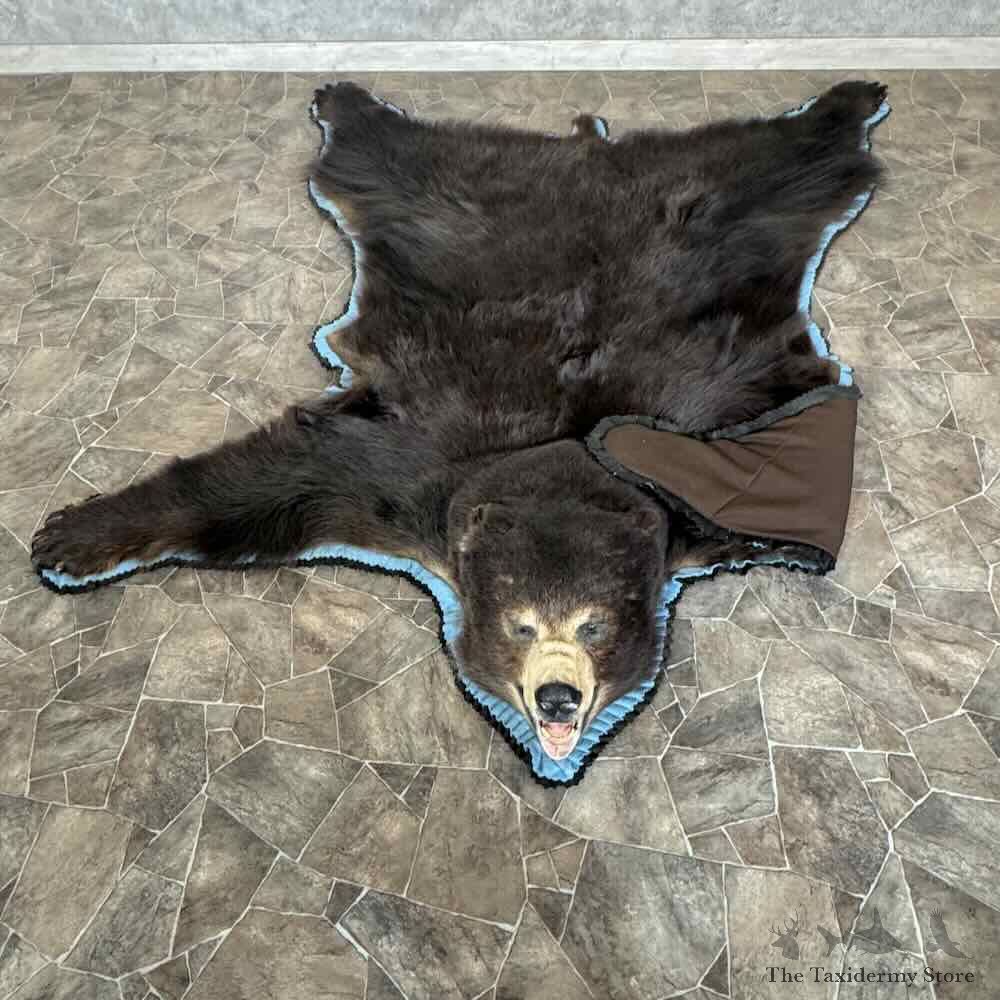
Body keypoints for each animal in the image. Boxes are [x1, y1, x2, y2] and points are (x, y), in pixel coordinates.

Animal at [31, 79, 886, 765]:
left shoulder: (714, 436)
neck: (561, 458)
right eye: (519, 625)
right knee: (382, 159)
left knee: (784, 165)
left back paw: (849, 98)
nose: (557, 698)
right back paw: (346, 100)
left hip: (721, 214)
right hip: (445, 199)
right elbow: (268, 485)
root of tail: (587, 151)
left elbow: (788, 480)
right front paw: (71, 537)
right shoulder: (410, 473)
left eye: (594, 627)